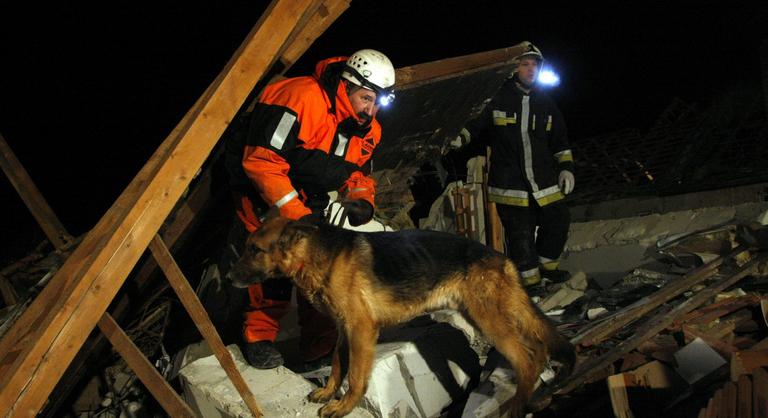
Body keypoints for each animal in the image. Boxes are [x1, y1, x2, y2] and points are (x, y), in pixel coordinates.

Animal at [225, 217, 572, 416]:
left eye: (255, 250)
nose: (227, 277)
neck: (315, 255)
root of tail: (502, 258)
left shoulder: (361, 330)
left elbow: (355, 377)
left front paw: (343, 406)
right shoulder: (343, 330)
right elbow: (337, 365)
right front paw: (327, 392)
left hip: (488, 320)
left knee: (526, 357)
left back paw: (517, 405)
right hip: (485, 315)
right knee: (536, 350)